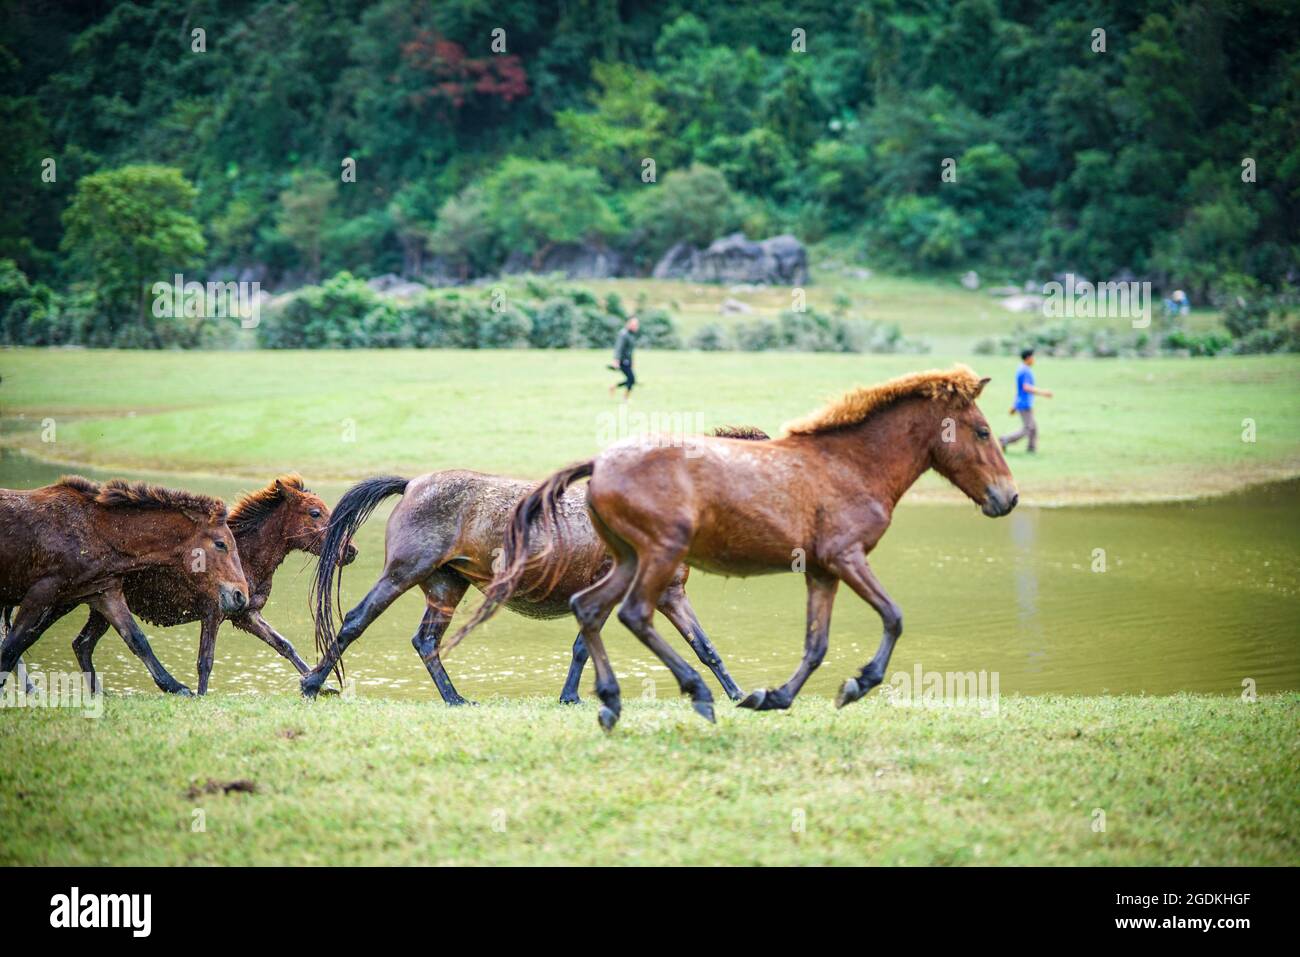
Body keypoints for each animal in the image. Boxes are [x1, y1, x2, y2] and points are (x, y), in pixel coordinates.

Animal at [0, 477, 249, 695]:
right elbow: (12, 645)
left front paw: (177, 687)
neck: (97, 532)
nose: (240, 596)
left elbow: (137, 639)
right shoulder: (41, 593)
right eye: (221, 544)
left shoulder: (104, 592)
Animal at [48, 474, 356, 695]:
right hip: (69, 601)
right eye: (315, 512)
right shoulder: (214, 611)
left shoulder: (245, 614)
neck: (250, 557)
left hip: (101, 606)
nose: (350, 551)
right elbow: (205, 661)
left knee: (82, 644)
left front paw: (320, 684)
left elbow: (284, 644)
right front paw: (200, 695)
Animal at [300, 428, 769, 704]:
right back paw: (311, 684)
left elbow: (704, 647)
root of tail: (412, 483)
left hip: (446, 586)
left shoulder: (670, 593)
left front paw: (739, 694)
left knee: (426, 641)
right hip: (403, 573)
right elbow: (584, 645)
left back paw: (456, 699)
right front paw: (574, 697)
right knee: (355, 621)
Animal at [444, 365, 1019, 731]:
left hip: (630, 561)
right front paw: (855, 685)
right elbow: (893, 617)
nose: (1007, 497)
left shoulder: (822, 568)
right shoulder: (847, 556)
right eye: (983, 431)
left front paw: (771, 697)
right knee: (631, 615)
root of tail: (600, 464)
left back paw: (613, 703)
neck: (851, 465)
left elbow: (815, 644)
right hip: (656, 558)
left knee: (588, 609)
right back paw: (691, 695)